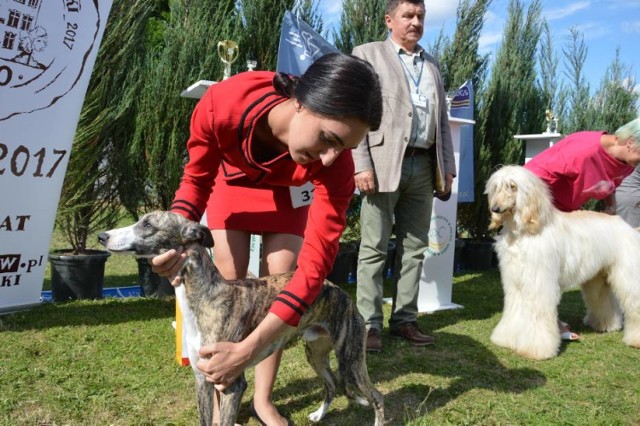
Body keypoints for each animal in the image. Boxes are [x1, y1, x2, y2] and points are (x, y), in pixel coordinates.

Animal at [97, 211, 382, 426]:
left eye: (147, 224)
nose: (101, 236)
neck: (206, 296)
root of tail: (338, 289)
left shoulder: (232, 383)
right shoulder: (202, 378)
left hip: (351, 360)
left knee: (376, 397)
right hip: (315, 352)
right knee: (332, 384)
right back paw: (319, 415)